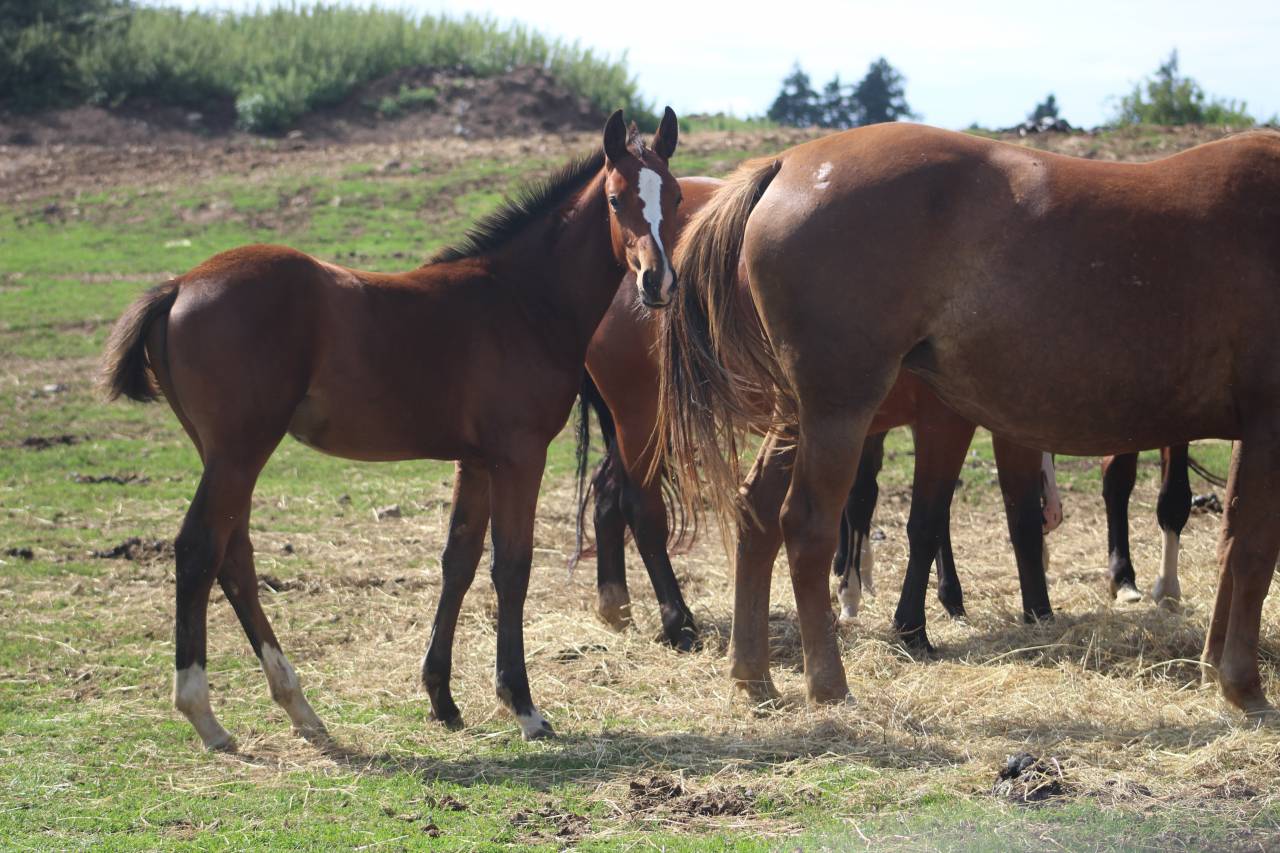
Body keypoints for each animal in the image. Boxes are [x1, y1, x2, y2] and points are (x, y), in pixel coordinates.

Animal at [100, 109, 683, 748]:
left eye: (675, 197)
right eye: (616, 198)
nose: (657, 283)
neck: (522, 301)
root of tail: (179, 284)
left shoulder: (476, 460)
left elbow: (459, 561)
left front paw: (442, 699)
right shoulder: (519, 455)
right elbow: (512, 566)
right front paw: (522, 705)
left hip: (225, 454)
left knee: (235, 555)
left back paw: (300, 708)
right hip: (239, 450)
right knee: (200, 547)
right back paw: (204, 714)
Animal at [577, 178, 1063, 662]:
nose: (1055, 513)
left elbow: (953, 512)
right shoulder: (939, 420)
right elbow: (942, 516)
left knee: (606, 492)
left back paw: (615, 605)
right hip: (643, 419)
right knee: (639, 507)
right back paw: (677, 622)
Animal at [658, 123, 1280, 720]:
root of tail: (788, 163)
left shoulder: (1250, 434)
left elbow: (1230, 542)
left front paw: (1213, 664)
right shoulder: (1268, 429)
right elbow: (1254, 549)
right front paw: (1244, 686)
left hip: (798, 415)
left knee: (757, 515)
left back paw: (753, 677)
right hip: (838, 409)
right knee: (807, 526)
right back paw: (829, 685)